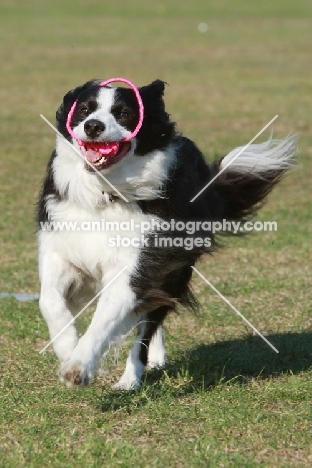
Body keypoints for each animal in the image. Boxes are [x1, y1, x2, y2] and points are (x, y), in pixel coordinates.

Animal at [37, 79, 296, 388]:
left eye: (124, 114)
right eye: (84, 110)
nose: (93, 126)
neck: (106, 193)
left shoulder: (140, 264)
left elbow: (106, 317)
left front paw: (79, 366)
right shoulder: (60, 248)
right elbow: (48, 300)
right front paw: (67, 347)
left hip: (176, 267)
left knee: (149, 324)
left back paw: (131, 378)